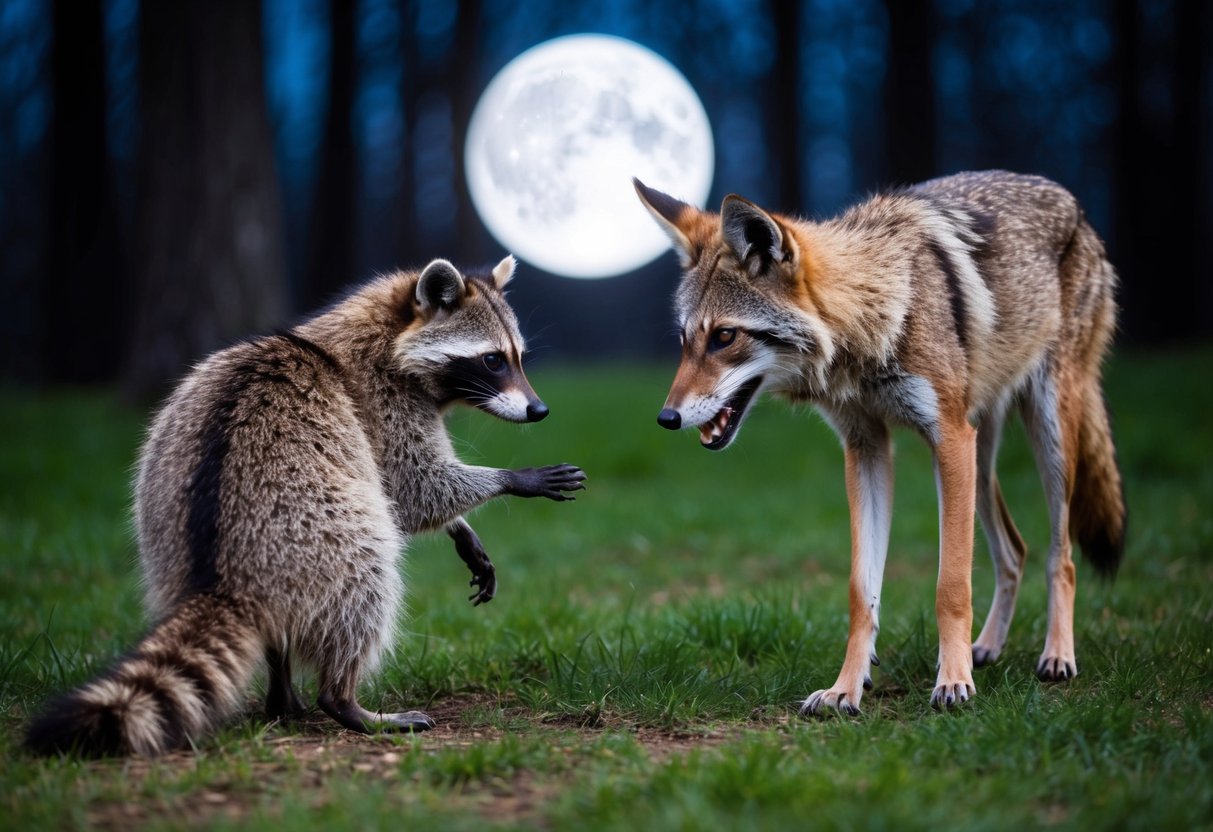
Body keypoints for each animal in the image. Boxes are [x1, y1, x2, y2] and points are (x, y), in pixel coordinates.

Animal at [25, 256, 585, 756]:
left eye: (518, 357)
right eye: (493, 360)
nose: (539, 410)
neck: (382, 336)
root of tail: (220, 580)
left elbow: (410, 493)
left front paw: (463, 530)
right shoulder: (381, 405)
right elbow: (411, 489)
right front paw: (513, 480)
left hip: (166, 541)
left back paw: (281, 688)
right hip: (318, 540)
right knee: (366, 579)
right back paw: (343, 700)